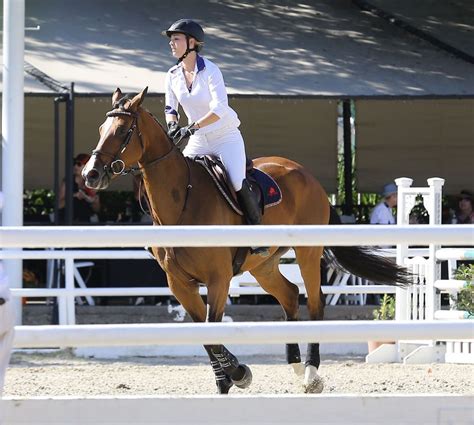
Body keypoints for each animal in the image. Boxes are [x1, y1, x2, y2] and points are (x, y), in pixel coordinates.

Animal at [84, 88, 412, 394]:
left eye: (123, 131)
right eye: (100, 130)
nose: (91, 174)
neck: (181, 203)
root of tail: (308, 176)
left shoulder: (218, 278)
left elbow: (210, 329)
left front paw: (239, 374)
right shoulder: (179, 284)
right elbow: (204, 334)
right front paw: (226, 381)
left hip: (307, 251)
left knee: (315, 303)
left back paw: (310, 373)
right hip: (263, 265)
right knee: (290, 295)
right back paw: (295, 365)